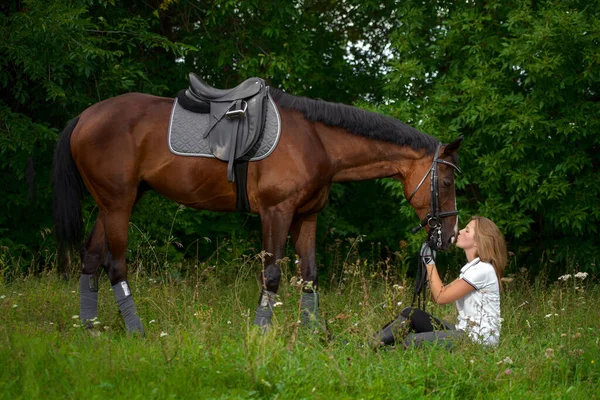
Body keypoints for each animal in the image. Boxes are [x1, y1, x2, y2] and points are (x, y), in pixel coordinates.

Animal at [52, 84, 464, 334]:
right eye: (446, 183)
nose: (448, 238)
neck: (317, 141)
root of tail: (85, 117)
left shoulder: (306, 217)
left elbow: (310, 275)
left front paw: (314, 333)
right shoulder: (276, 213)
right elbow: (272, 275)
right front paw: (262, 330)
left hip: (112, 204)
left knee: (91, 258)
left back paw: (89, 328)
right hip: (118, 205)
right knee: (115, 265)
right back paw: (136, 330)